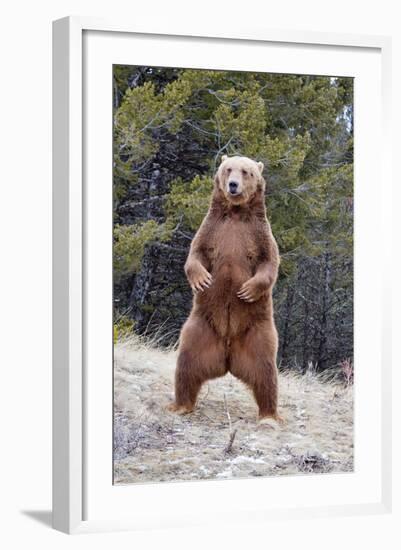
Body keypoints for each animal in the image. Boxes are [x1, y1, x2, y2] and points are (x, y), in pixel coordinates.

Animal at [167, 156, 282, 426]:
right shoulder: (212, 229)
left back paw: (269, 416)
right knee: (186, 365)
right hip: (200, 328)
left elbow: (269, 262)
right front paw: (202, 280)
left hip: (257, 332)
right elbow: (195, 254)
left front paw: (248, 290)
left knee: (265, 373)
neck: (236, 214)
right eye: (228, 169)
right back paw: (180, 405)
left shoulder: (260, 234)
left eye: (246, 171)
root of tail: (228, 358)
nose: (233, 185)